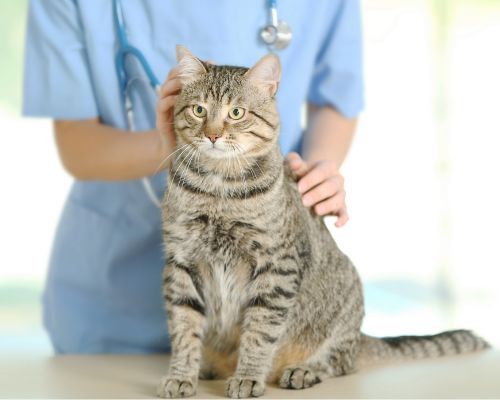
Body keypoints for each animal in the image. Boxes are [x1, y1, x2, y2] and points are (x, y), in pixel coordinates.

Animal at [155, 46, 488, 396]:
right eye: (199, 110)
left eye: (236, 113)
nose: (213, 135)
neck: (218, 189)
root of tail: (361, 338)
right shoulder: (181, 262)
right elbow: (184, 328)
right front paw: (181, 375)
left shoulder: (276, 266)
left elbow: (259, 332)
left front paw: (247, 376)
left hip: (347, 298)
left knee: (340, 361)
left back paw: (304, 370)